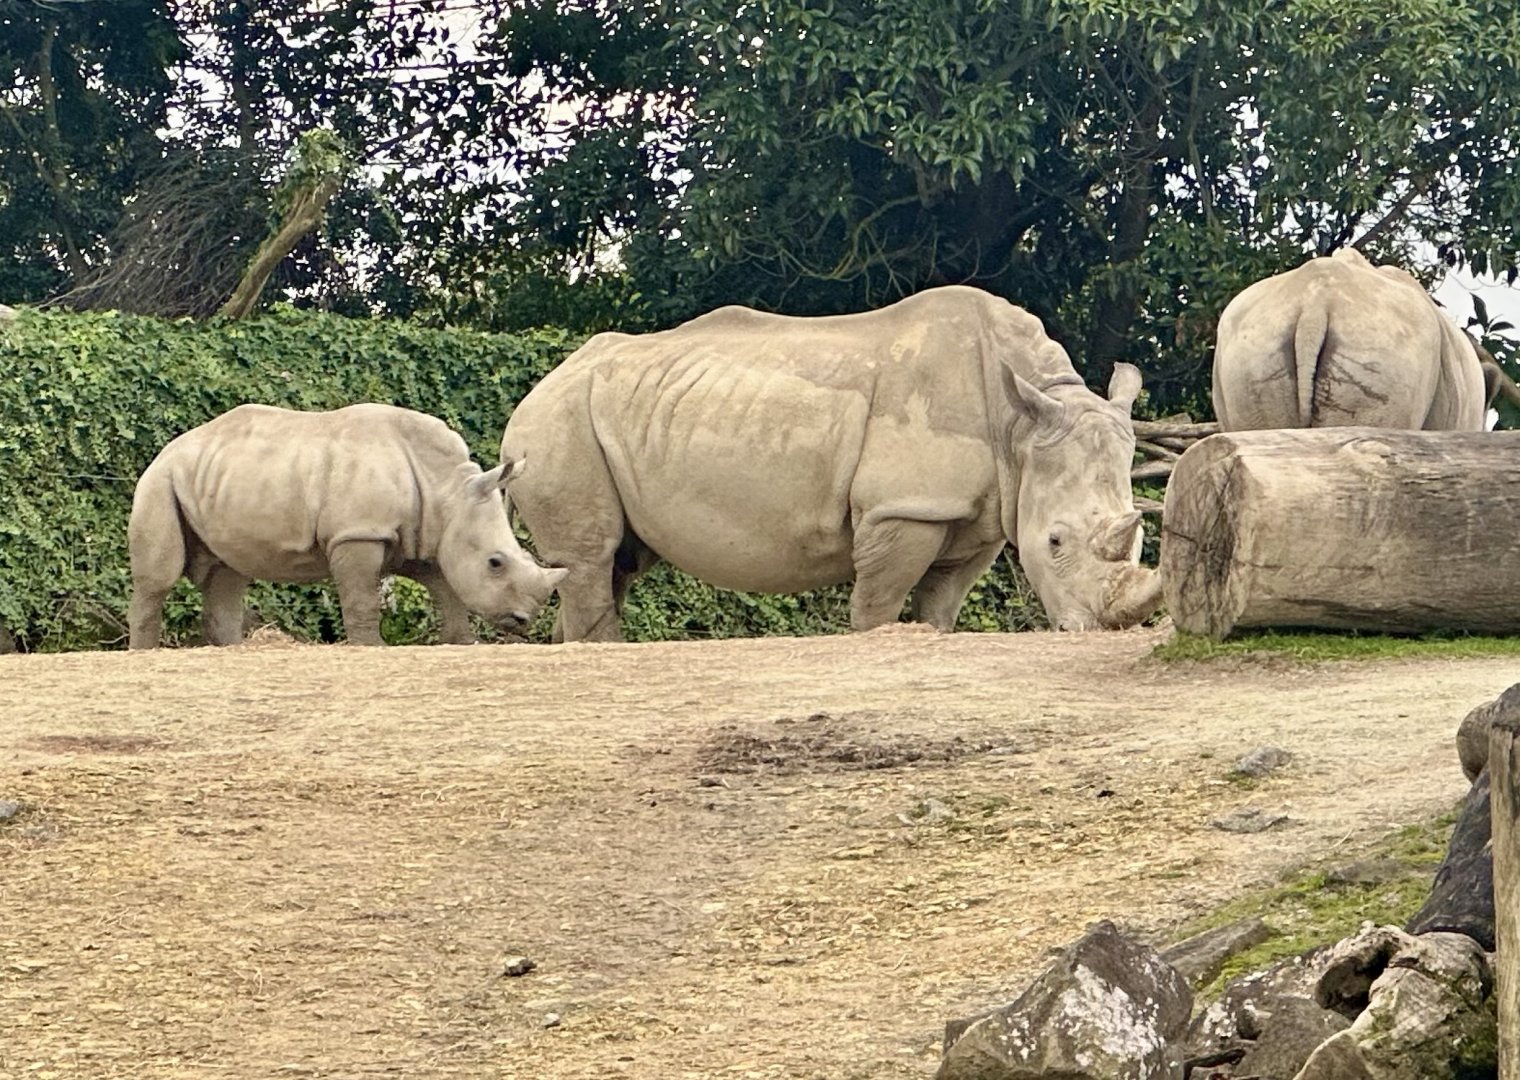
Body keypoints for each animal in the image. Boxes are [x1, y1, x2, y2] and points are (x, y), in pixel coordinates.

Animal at [128, 403, 567, 648]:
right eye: (496, 562)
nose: (523, 621)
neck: (448, 490)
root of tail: (168, 448)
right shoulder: (358, 533)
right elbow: (362, 598)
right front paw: (371, 646)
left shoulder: (424, 533)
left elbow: (446, 588)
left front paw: (459, 641)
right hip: (158, 481)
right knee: (160, 577)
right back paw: (144, 652)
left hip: (217, 479)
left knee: (227, 573)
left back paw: (232, 650)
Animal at [500, 285, 1162, 641]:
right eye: (1054, 541)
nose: (1100, 632)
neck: (1020, 427)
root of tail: (542, 385)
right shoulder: (904, 509)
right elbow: (878, 605)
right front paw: (875, 641)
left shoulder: (978, 517)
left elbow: (941, 605)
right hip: (556, 426)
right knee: (589, 559)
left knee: (616, 564)